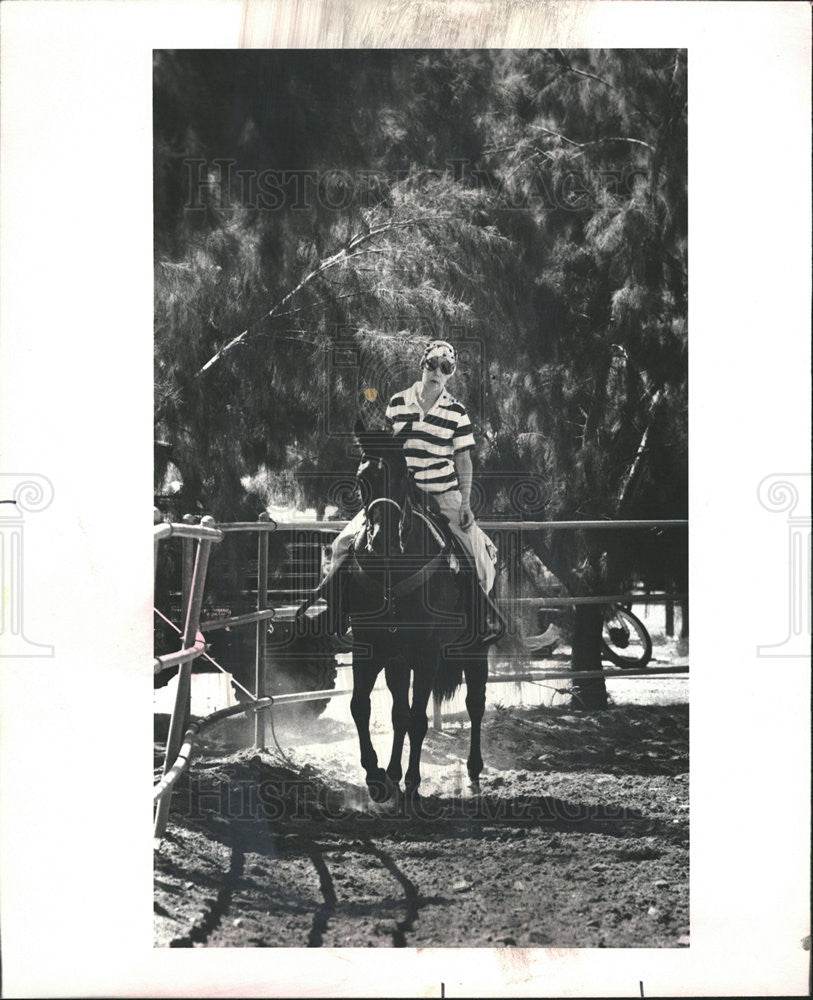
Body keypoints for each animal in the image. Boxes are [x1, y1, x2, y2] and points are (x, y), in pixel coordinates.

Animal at [330, 422, 502, 804]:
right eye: (362, 477)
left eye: (404, 474)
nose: (380, 539)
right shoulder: (369, 648)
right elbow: (361, 707)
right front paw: (377, 777)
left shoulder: (427, 653)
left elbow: (419, 719)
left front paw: (411, 782)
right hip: (398, 660)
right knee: (399, 713)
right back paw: (392, 774)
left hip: (473, 651)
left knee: (475, 703)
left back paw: (473, 771)